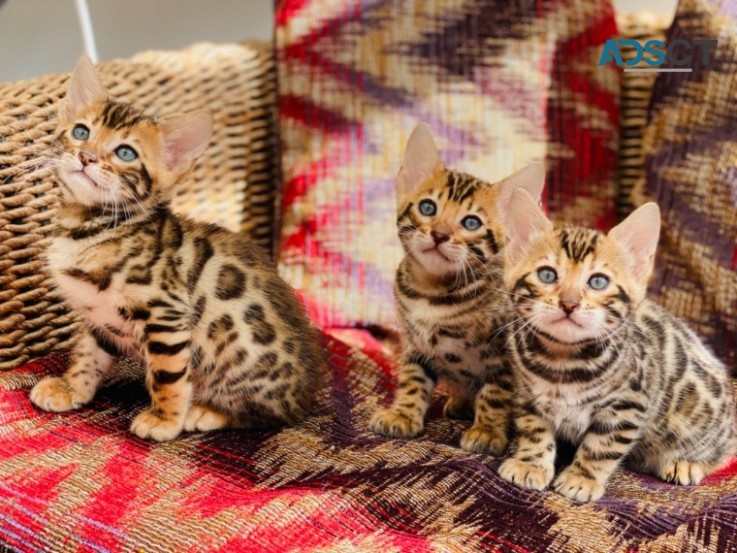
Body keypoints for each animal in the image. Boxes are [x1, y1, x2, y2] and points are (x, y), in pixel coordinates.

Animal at [28, 56, 322, 442]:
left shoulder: (165, 311)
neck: (90, 225)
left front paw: (164, 419)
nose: (87, 157)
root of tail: (308, 395)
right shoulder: (99, 316)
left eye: (125, 153)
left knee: (266, 414)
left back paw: (207, 412)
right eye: (81, 132)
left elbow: (167, 374)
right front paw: (71, 388)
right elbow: (88, 355)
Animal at [368, 122, 548, 452]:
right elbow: (412, 378)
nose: (439, 234)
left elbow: (497, 392)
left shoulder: (506, 354)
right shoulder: (415, 343)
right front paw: (403, 414)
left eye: (471, 223)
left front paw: (487, 431)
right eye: (428, 207)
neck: (432, 291)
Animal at [498, 188, 732, 502]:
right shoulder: (527, 393)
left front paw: (581, 479)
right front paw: (530, 464)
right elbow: (533, 430)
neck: (563, 359)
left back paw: (686, 462)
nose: (569, 303)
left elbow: (602, 446)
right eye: (547, 274)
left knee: (721, 449)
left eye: (598, 281)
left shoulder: (629, 404)